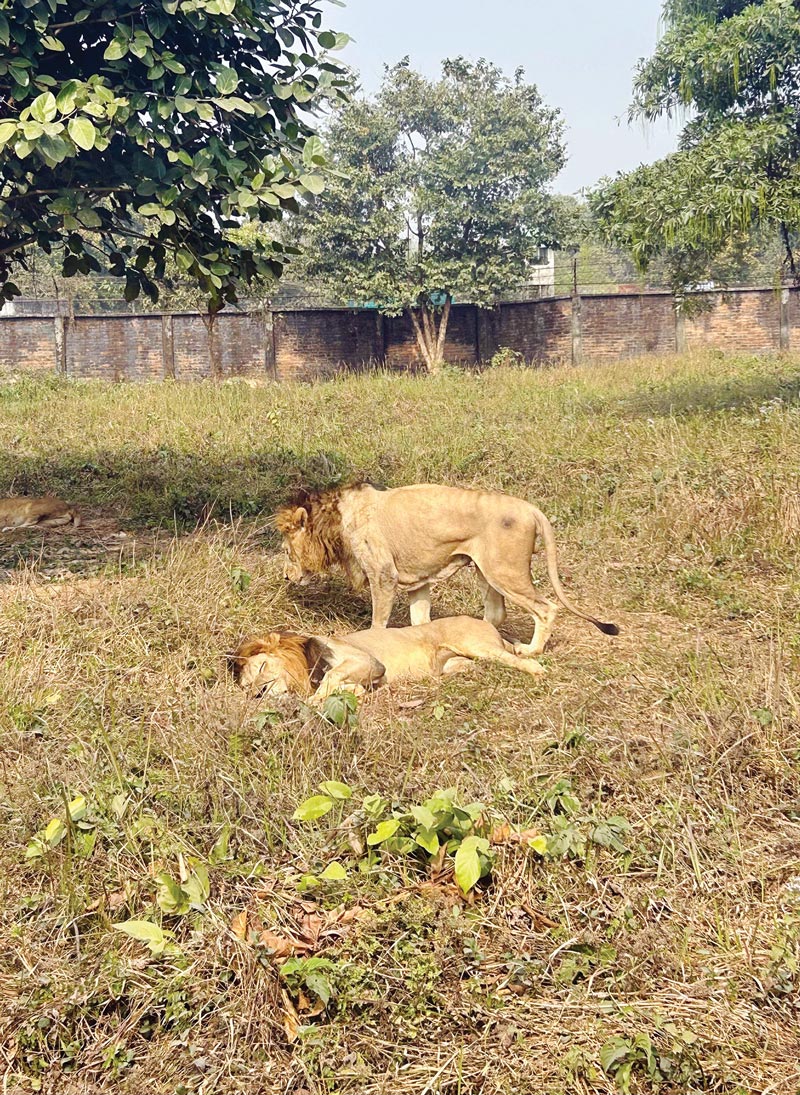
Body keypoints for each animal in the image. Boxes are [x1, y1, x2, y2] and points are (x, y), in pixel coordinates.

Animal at [228, 617, 547, 700]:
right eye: (248, 687)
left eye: (263, 666)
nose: (260, 692)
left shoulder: (369, 662)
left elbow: (328, 679)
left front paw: (313, 701)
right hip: (457, 664)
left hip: (476, 644)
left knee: (518, 659)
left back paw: (537, 671)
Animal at [275, 483, 621, 652]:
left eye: (286, 550)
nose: (287, 576)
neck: (336, 520)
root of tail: (531, 508)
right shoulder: (418, 583)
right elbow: (419, 620)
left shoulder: (383, 575)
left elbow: (377, 622)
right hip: (485, 571)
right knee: (496, 613)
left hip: (504, 571)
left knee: (546, 608)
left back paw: (529, 650)